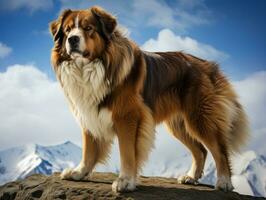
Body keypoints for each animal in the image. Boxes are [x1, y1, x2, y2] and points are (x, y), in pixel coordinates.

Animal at [49, 6, 249, 193]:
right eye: (67, 30)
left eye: (88, 28)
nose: (72, 39)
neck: (91, 67)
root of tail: (209, 65)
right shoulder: (88, 111)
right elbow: (89, 148)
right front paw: (79, 172)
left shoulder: (128, 116)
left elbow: (127, 151)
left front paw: (125, 181)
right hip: (179, 124)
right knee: (200, 150)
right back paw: (191, 176)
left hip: (200, 117)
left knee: (219, 149)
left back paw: (224, 182)